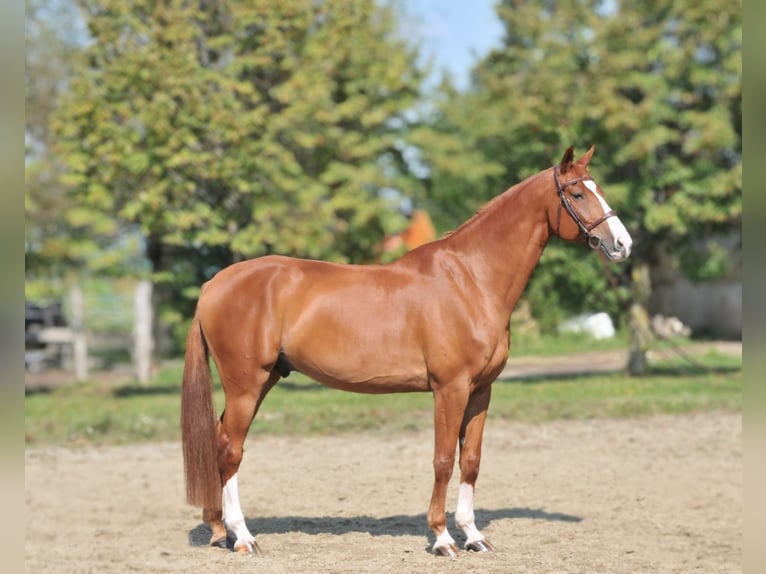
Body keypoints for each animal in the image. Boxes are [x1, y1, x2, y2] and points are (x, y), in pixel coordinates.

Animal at [183, 147, 632, 560]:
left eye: (598, 189)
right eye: (577, 193)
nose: (622, 244)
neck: (471, 279)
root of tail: (213, 284)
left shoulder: (481, 390)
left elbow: (471, 460)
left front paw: (474, 536)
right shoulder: (449, 388)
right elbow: (443, 460)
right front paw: (443, 538)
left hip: (262, 380)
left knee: (219, 441)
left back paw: (219, 531)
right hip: (246, 385)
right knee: (230, 449)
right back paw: (242, 537)